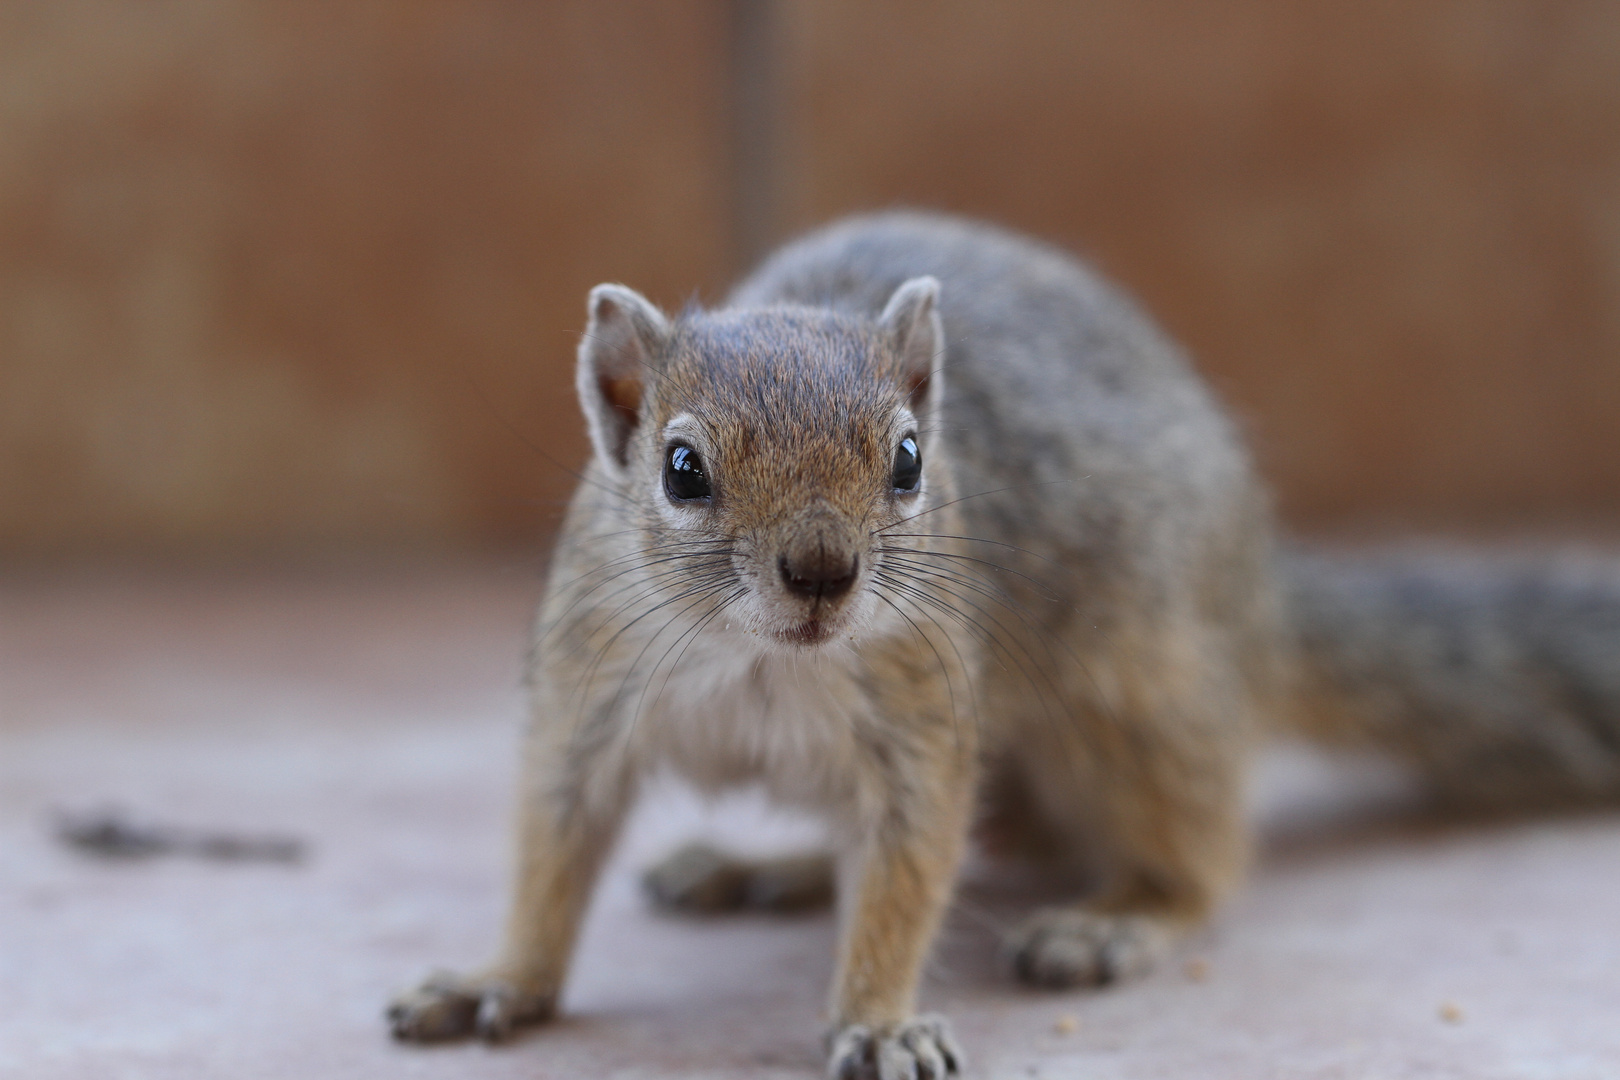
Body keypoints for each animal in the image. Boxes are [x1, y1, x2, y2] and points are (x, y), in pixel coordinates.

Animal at [385, 213, 1620, 1080]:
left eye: (910, 459)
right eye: (680, 469)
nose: (822, 572)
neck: (766, 658)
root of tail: (1261, 594)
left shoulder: (921, 726)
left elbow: (911, 870)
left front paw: (879, 1021)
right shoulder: (583, 703)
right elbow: (554, 853)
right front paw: (500, 979)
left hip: (1142, 706)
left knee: (1194, 853)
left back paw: (1115, 919)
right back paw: (761, 869)